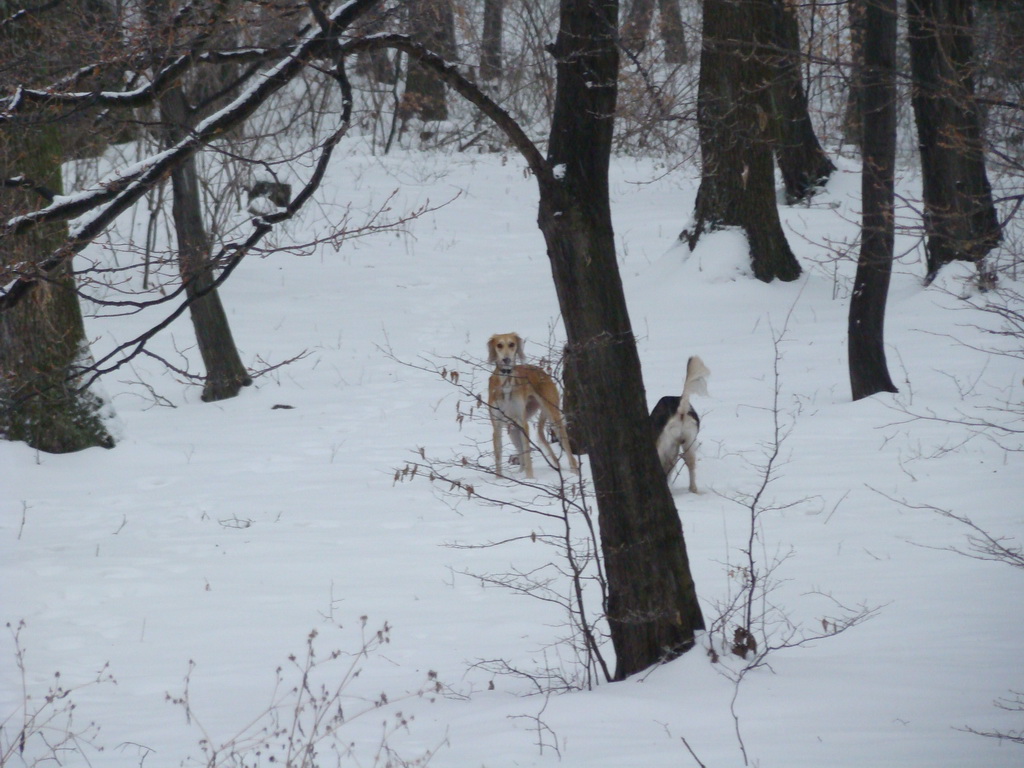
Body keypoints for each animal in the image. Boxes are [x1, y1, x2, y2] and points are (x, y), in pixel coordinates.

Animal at [485, 331, 581, 479]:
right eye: (499, 345)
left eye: (511, 344)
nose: (506, 359)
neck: (506, 381)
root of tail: (542, 372)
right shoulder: (497, 424)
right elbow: (498, 455)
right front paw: (499, 479)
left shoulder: (523, 422)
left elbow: (527, 452)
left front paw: (530, 478)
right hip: (513, 428)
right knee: (520, 453)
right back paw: (520, 473)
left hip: (553, 415)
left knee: (567, 448)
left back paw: (574, 472)